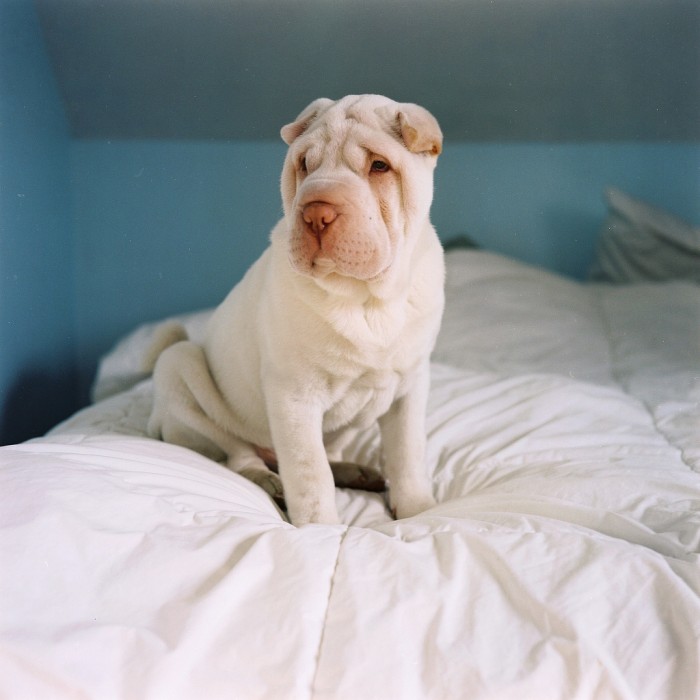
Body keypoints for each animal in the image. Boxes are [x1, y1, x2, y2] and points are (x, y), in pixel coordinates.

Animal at [147, 95, 442, 528]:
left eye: (379, 166)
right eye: (304, 164)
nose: (316, 212)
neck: (366, 299)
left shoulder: (410, 385)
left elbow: (408, 452)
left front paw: (418, 509)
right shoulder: (294, 396)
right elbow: (309, 471)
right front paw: (320, 529)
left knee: (329, 453)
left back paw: (357, 473)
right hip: (179, 367)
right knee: (239, 454)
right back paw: (269, 481)